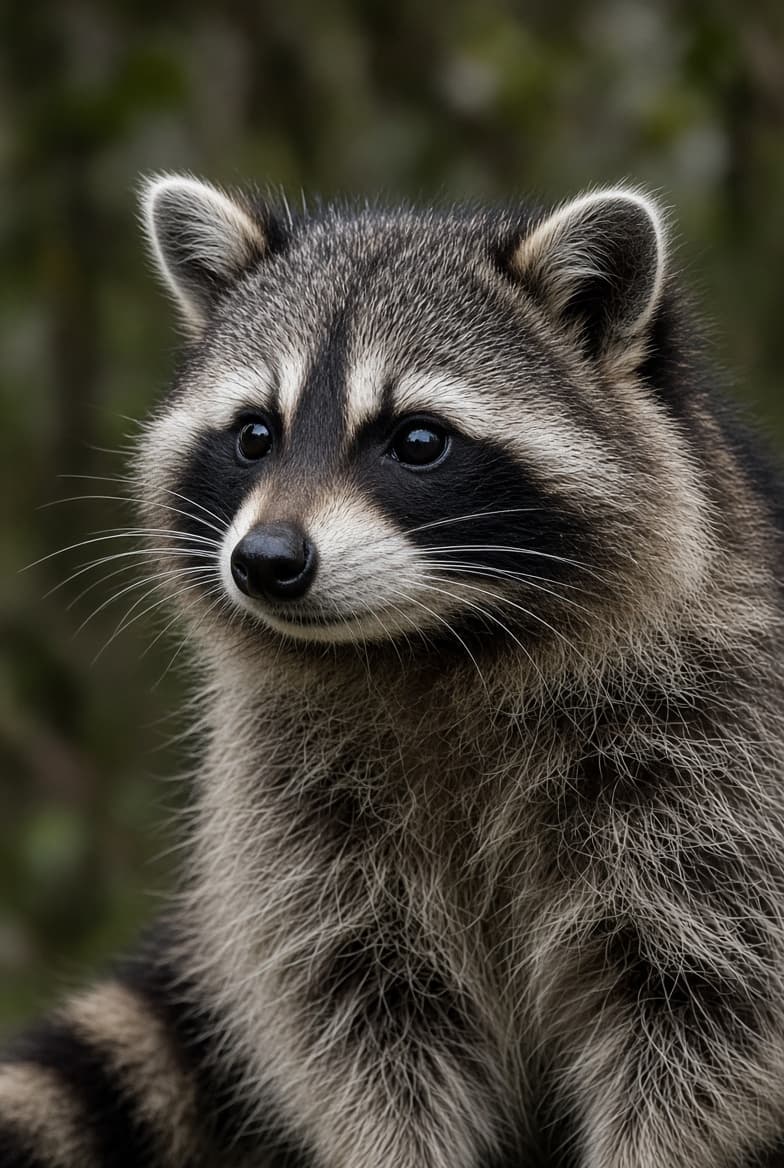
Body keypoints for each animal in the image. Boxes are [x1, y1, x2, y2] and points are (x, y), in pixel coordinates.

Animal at [2, 175, 784, 1168]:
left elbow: (701, 1029)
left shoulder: (715, 766)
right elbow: (369, 1037)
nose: (265, 561)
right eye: (255, 434)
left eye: (417, 441)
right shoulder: (298, 821)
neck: (428, 643)